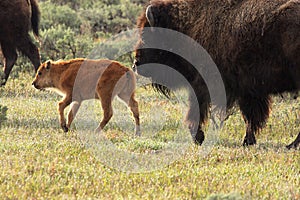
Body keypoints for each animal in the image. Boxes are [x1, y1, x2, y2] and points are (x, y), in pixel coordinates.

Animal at [134, 0, 300, 148]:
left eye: (147, 35)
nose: (136, 63)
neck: (188, 23)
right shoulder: (248, 90)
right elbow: (250, 117)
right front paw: (248, 142)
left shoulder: (202, 83)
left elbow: (197, 109)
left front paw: (198, 138)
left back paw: (291, 145)